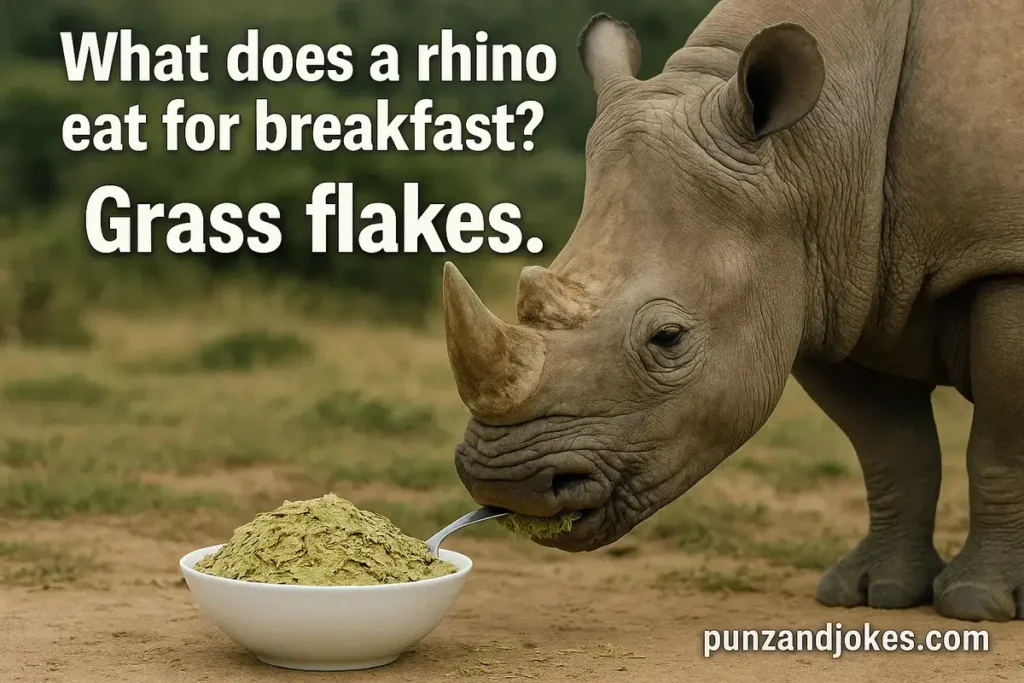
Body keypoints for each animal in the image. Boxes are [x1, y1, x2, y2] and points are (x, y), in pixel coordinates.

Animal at [441, 0, 1024, 623]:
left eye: (668, 338)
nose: (508, 486)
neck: (811, 149)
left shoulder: (1002, 262)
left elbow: (998, 446)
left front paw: (977, 604)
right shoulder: (828, 284)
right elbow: (890, 448)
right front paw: (874, 593)